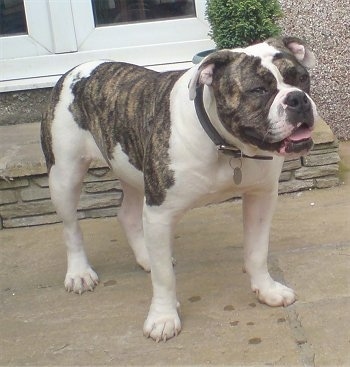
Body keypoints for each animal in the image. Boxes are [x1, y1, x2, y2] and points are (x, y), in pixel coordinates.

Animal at [40, 36, 318, 342]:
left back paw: (145, 256)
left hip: (131, 169)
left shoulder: (261, 198)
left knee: (127, 215)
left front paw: (267, 290)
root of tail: (76, 70)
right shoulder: (160, 214)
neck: (226, 146)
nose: (297, 99)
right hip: (64, 175)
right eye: (258, 90)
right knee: (71, 227)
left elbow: (257, 251)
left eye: (302, 78)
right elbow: (164, 278)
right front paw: (163, 317)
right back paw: (79, 272)